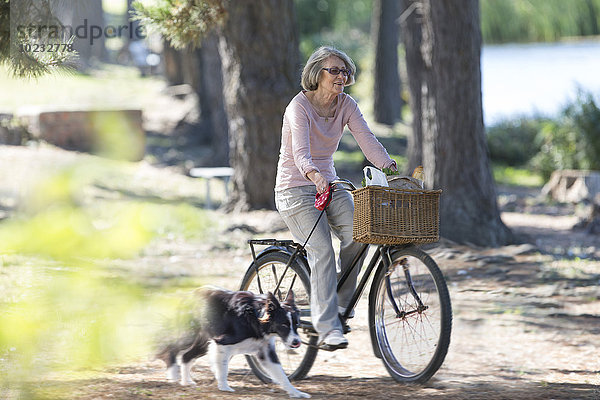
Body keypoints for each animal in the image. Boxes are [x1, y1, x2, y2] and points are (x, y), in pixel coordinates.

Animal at [156, 288, 310, 396]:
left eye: (297, 324)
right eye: (284, 325)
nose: (296, 342)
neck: (256, 318)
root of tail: (188, 295)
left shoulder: (265, 352)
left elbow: (282, 375)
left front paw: (296, 392)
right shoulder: (222, 343)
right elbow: (223, 368)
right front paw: (224, 387)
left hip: (203, 343)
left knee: (186, 356)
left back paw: (186, 381)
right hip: (190, 336)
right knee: (172, 348)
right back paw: (173, 375)